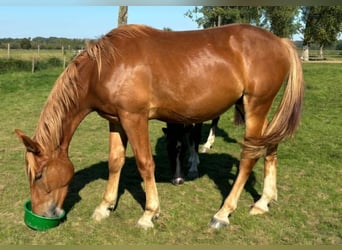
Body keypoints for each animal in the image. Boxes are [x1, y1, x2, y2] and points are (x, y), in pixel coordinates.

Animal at [14, 23, 304, 229]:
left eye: (38, 175)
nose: (41, 213)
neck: (104, 67)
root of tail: (280, 41)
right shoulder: (116, 121)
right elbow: (115, 162)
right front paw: (104, 207)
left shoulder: (134, 118)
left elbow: (145, 164)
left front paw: (148, 214)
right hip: (251, 108)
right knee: (270, 147)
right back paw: (263, 202)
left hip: (256, 106)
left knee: (248, 157)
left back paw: (223, 213)